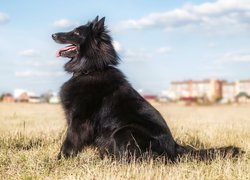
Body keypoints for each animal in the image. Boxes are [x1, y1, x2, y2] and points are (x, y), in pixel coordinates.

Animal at [52, 16, 242, 160]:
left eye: (77, 33)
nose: (53, 34)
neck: (91, 69)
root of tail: (174, 148)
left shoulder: (79, 121)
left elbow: (69, 143)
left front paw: (59, 160)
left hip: (124, 131)